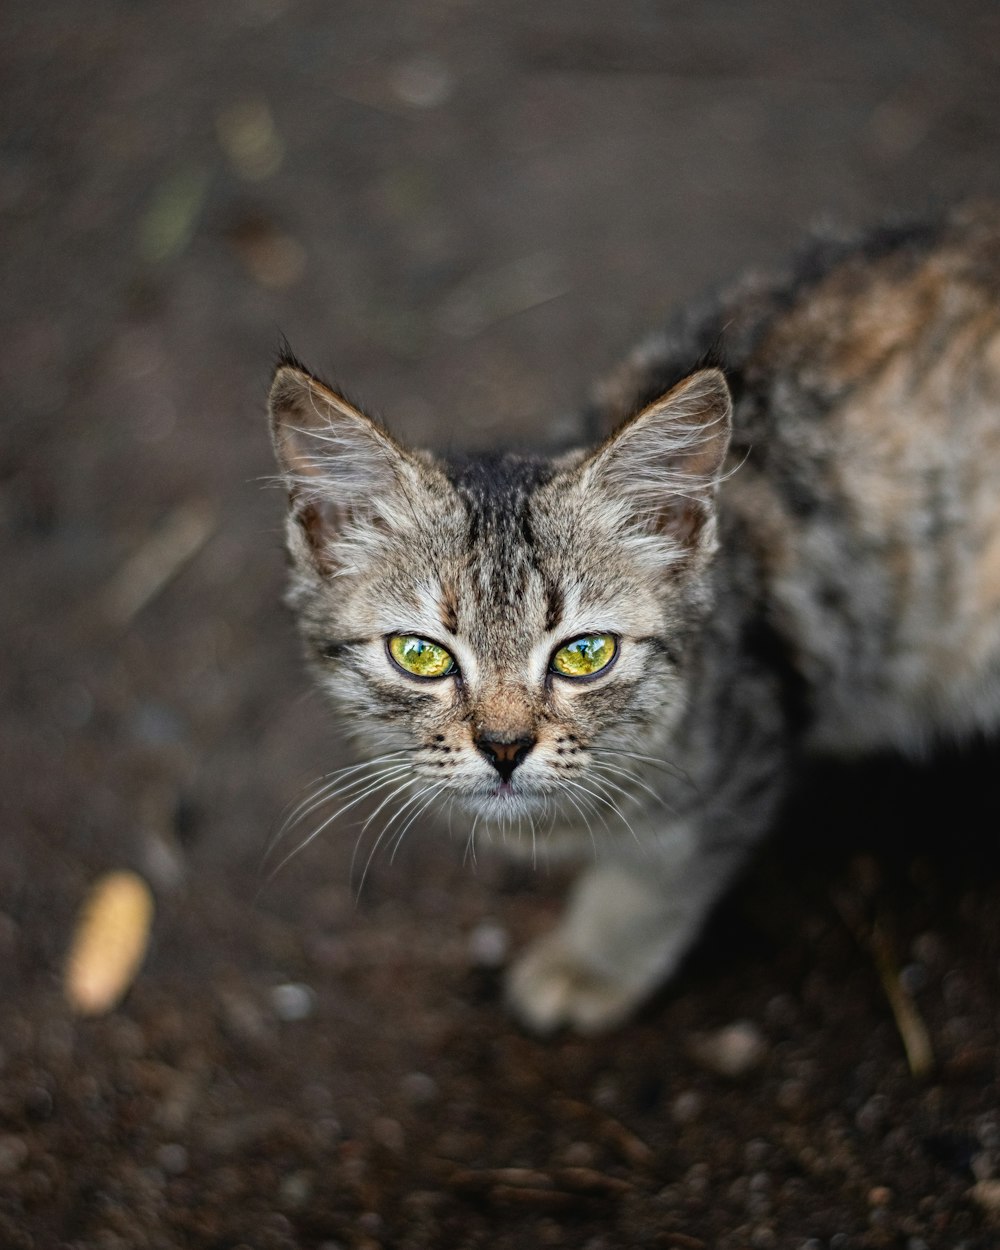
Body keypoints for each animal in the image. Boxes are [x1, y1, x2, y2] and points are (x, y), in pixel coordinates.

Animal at [263, 197, 1000, 1035]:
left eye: (585, 653)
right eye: (421, 655)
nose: (505, 748)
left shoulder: (735, 758)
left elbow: (653, 876)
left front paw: (592, 961)